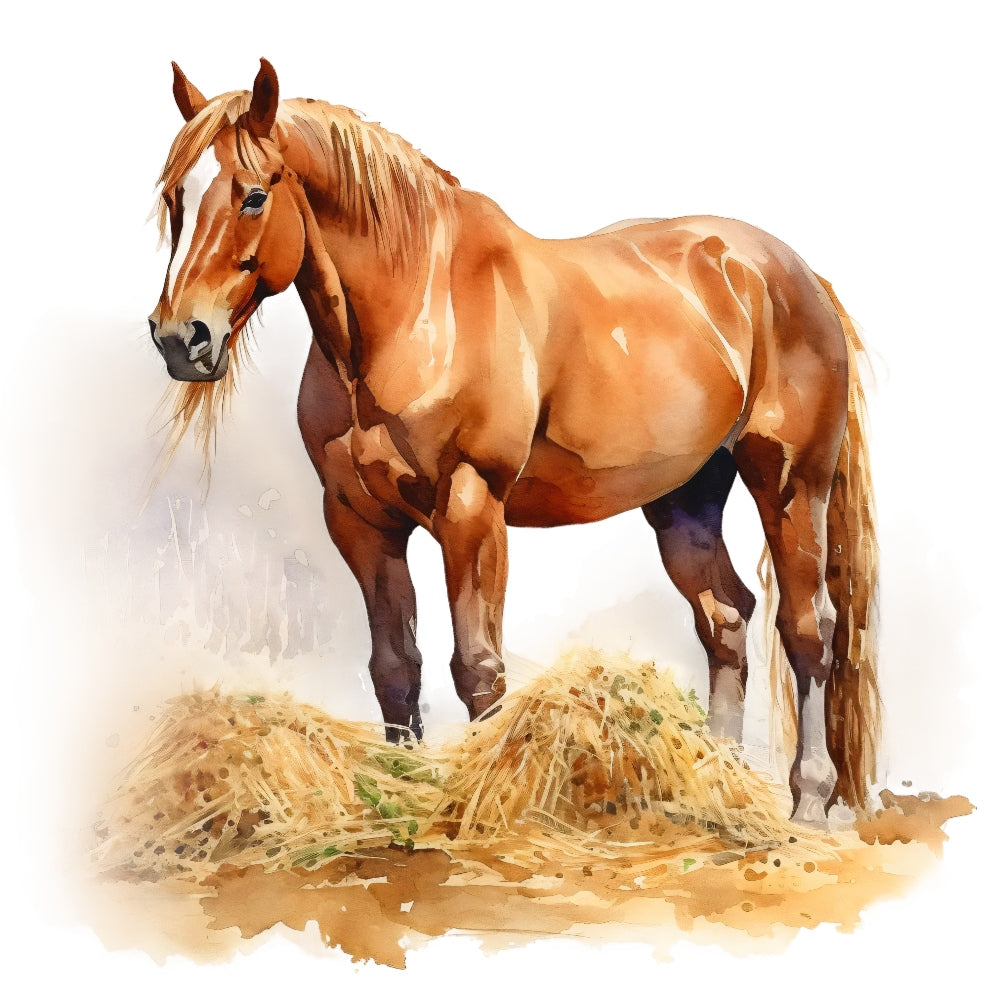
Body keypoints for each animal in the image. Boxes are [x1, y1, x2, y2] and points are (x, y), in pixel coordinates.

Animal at [149, 59, 879, 822]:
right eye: (174, 196)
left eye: (255, 194)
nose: (180, 338)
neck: (418, 307)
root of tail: (791, 273)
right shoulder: (360, 520)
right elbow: (395, 667)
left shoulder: (472, 506)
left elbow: (477, 665)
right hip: (685, 499)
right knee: (726, 617)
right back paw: (720, 786)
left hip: (791, 485)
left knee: (809, 628)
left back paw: (808, 807)